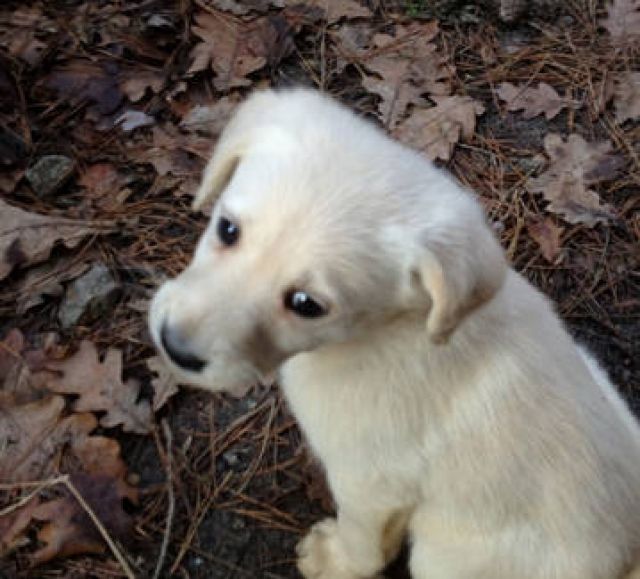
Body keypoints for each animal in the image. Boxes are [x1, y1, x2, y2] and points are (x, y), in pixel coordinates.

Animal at [150, 88, 640, 576]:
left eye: (307, 305)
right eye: (227, 229)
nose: (174, 347)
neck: (382, 333)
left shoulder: (370, 482)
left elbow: (364, 544)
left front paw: (332, 561)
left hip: (438, 556)